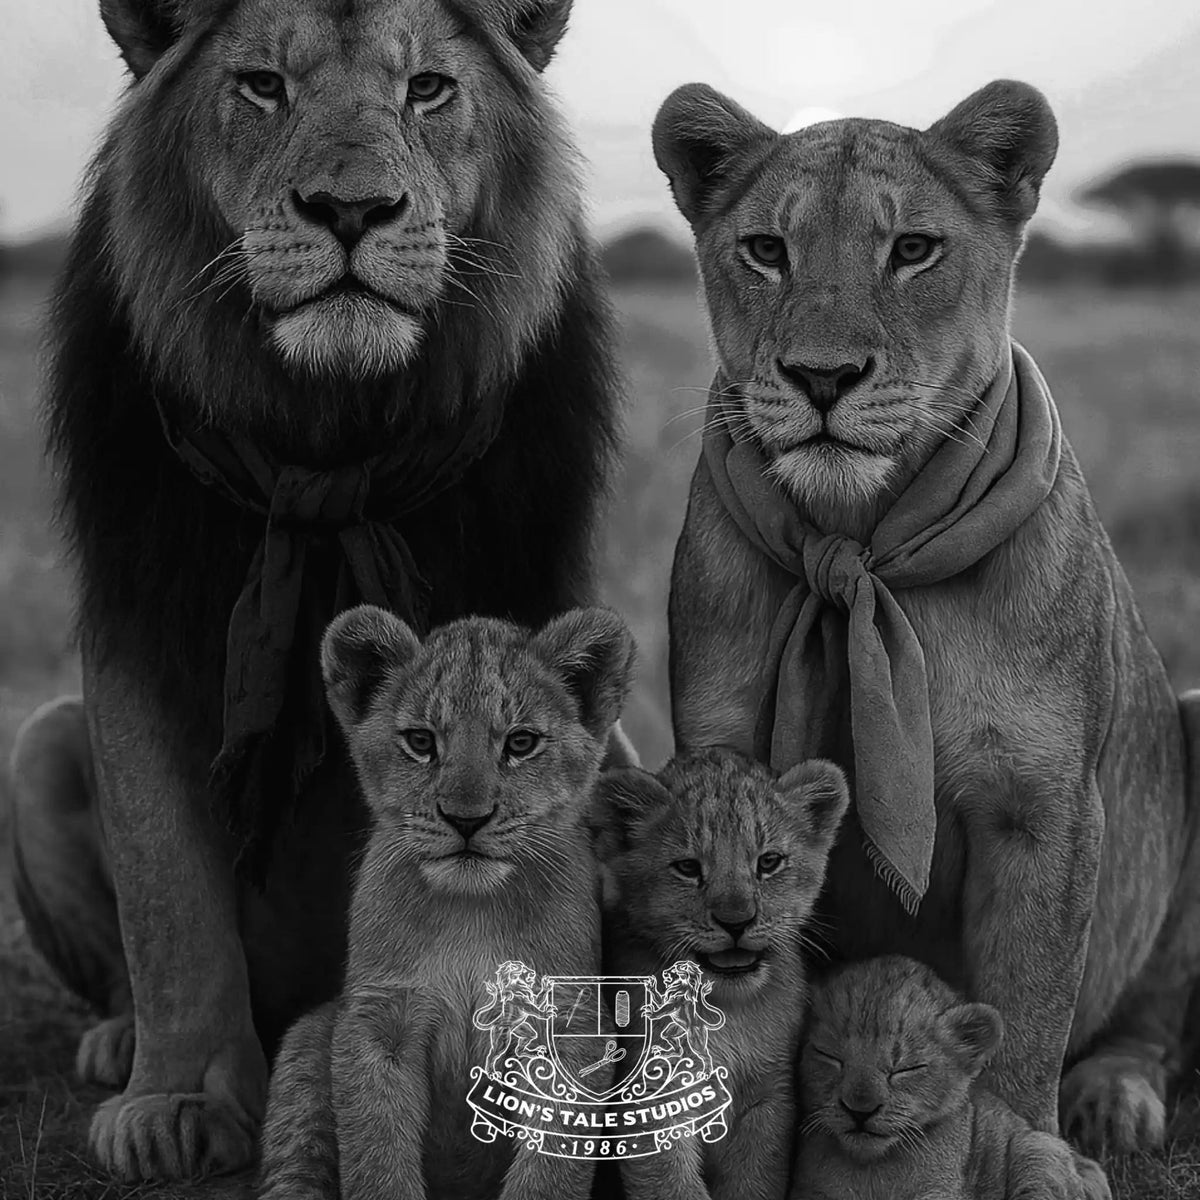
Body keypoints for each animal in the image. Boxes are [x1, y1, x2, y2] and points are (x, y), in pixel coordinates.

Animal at [9, 0, 628, 1181]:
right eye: (262, 85)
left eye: (427, 89)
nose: (351, 210)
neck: (330, 439)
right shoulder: (135, 629)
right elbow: (167, 895)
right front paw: (178, 1100)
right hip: (38, 742)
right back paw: (117, 1044)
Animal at [655, 79, 1200, 1157]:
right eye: (766, 249)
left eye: (912, 249)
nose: (823, 378)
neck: (859, 542)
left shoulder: (1042, 811)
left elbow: (1027, 1022)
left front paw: (1026, 1154)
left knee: (1153, 1021)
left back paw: (1116, 1097)